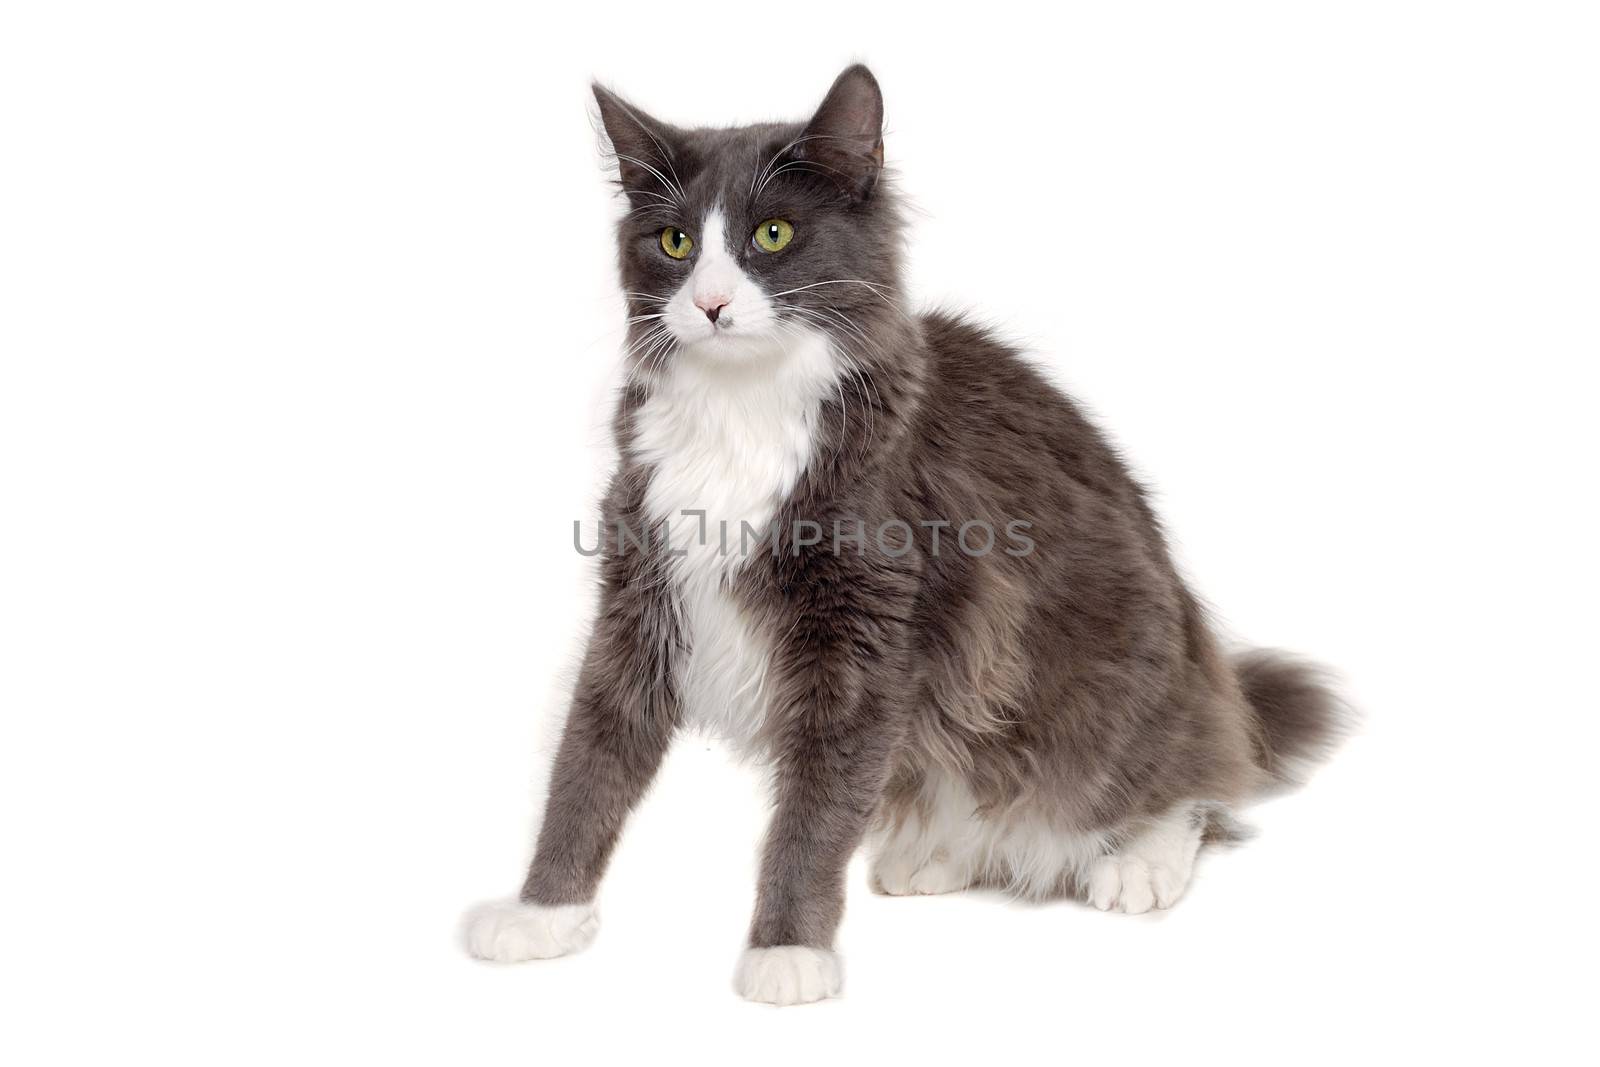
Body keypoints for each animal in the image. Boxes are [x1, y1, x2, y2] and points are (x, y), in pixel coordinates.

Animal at [467, 68, 1344, 1011]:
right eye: (673, 242)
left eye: (772, 234)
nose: (709, 303)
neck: (743, 412)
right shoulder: (638, 602)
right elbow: (586, 767)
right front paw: (542, 912)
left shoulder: (863, 634)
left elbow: (813, 817)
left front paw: (788, 951)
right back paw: (937, 852)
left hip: (1117, 682)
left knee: (1194, 776)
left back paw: (1141, 860)